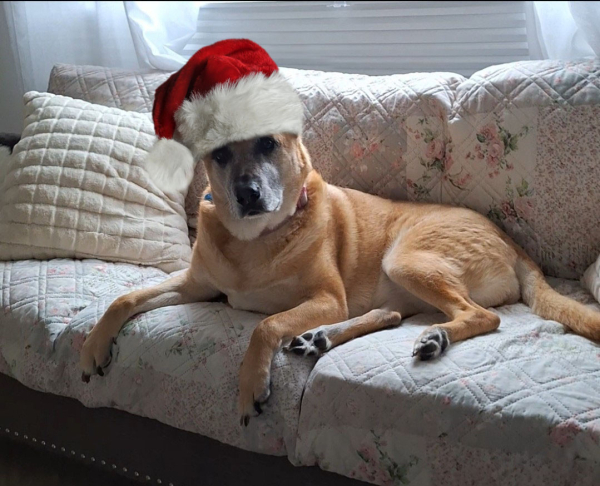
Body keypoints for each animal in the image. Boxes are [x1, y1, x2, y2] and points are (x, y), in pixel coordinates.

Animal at [79, 133, 600, 426]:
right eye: (221, 155)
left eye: (268, 145)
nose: (248, 194)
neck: (253, 240)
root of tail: (513, 242)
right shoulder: (194, 286)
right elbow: (124, 299)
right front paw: (93, 347)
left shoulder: (328, 298)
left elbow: (264, 326)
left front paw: (252, 386)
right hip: (398, 281)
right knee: (390, 314)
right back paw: (321, 340)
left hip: (404, 258)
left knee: (481, 316)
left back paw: (434, 339)